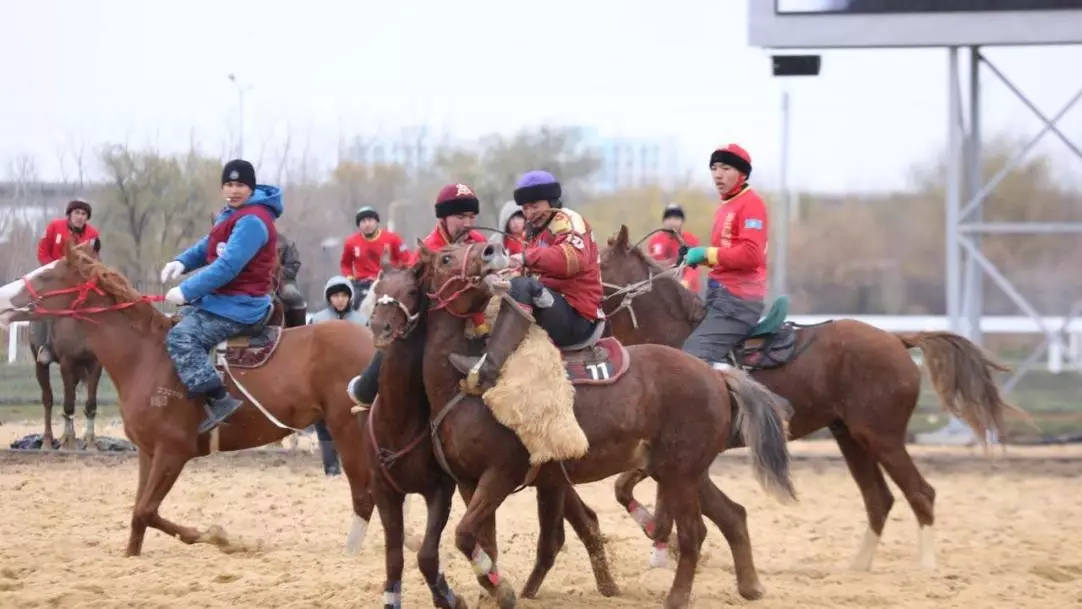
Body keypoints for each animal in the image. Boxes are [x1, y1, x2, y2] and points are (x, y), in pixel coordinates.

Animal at [26, 318, 103, 449]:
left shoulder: (95, 364)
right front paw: (68, 444)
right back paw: (47, 441)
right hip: (40, 365)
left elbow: (91, 403)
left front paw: (91, 443)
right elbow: (68, 404)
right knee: (48, 399)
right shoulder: (66, 363)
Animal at [363, 262, 623, 609]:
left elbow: (430, 554)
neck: (399, 421)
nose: (381, 328)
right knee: (584, 521)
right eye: (377, 290)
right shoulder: (386, 491)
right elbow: (395, 559)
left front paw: (454, 597)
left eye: (412, 291)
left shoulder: (444, 489)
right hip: (553, 476)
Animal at [398, 242, 796, 609]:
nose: (491, 250)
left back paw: (677, 597)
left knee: (694, 533)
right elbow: (484, 542)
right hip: (684, 472)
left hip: (681, 475)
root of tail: (715, 374)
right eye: (446, 257)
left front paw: (503, 588)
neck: (458, 386)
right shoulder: (470, 483)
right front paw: (496, 589)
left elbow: (465, 535)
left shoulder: (500, 475)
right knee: (733, 515)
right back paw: (750, 587)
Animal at [597, 223, 1017, 571]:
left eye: (597, 263)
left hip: (882, 437)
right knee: (879, 499)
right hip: (851, 437)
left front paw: (659, 536)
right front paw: (658, 538)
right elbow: (626, 487)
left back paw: (926, 566)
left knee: (920, 492)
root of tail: (898, 339)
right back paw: (857, 567)